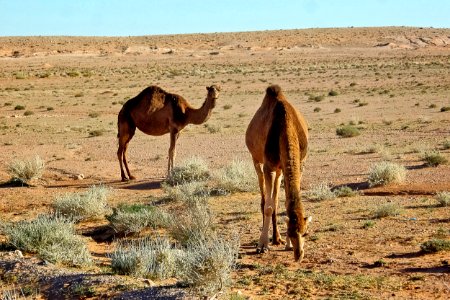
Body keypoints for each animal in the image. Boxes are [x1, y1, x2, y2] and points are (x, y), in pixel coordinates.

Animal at [244, 84, 312, 260]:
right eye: (291, 232)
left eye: (305, 233)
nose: (299, 255)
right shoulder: (268, 166)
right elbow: (268, 206)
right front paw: (262, 245)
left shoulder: (300, 164)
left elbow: (282, 201)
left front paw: (287, 244)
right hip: (256, 160)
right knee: (264, 198)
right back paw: (269, 238)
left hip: (280, 170)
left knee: (274, 198)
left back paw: (276, 238)